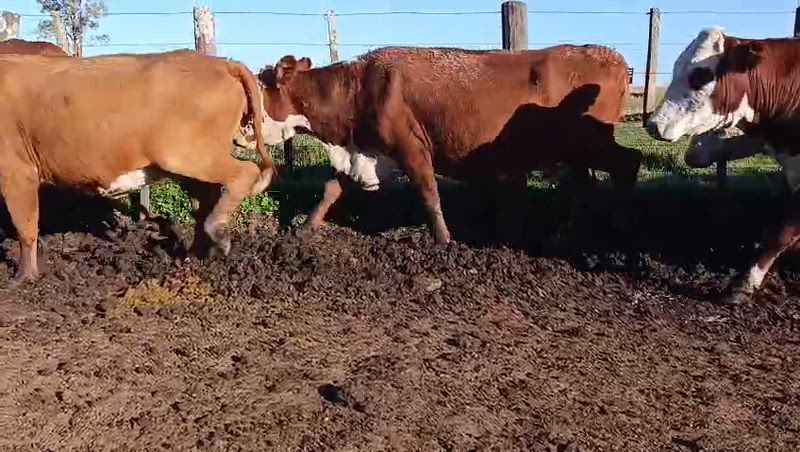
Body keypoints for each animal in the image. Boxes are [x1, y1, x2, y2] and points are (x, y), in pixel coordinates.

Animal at [0, 50, 307, 283]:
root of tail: (220, 62)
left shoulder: (17, 171)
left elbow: (25, 225)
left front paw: (24, 277)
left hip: (187, 155)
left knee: (244, 174)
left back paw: (217, 232)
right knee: (205, 201)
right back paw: (198, 252)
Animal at [257, 45, 643, 246]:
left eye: (260, 88)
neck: (357, 87)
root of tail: (612, 57)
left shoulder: (412, 148)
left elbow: (429, 194)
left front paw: (443, 240)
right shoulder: (365, 151)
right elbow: (331, 189)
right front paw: (306, 228)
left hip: (588, 143)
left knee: (628, 162)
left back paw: (620, 224)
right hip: (576, 152)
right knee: (587, 185)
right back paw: (565, 233)